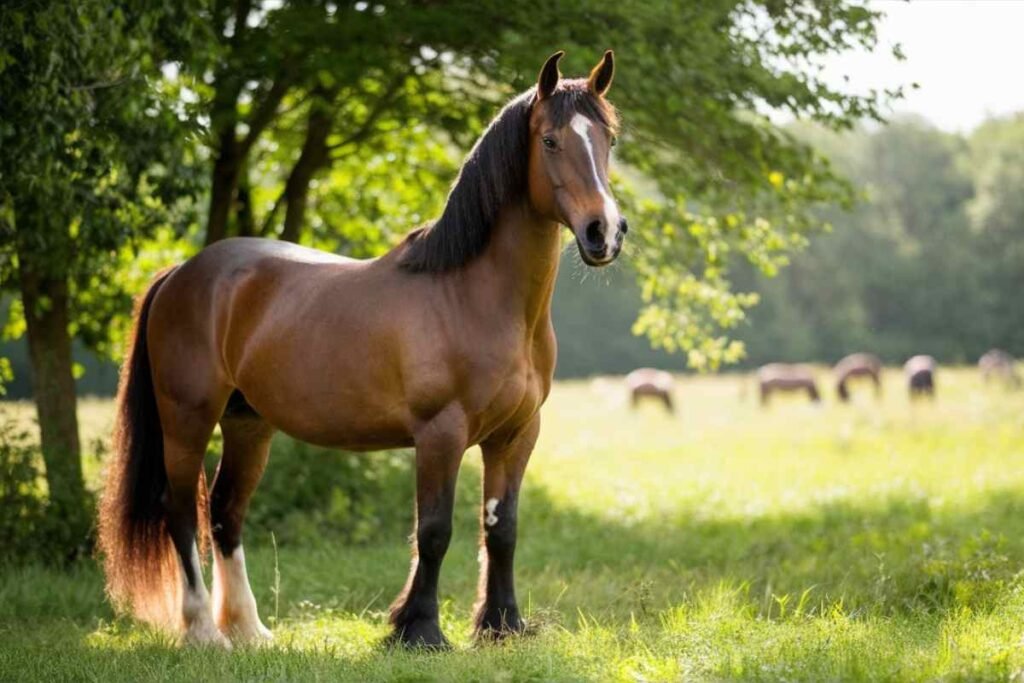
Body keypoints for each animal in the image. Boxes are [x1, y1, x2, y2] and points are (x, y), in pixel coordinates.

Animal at [97, 50, 622, 651]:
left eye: (608, 138)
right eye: (551, 140)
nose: (604, 231)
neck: (476, 297)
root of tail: (181, 272)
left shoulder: (516, 434)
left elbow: (501, 529)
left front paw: (501, 626)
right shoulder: (440, 434)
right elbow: (434, 531)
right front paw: (419, 630)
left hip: (248, 423)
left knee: (227, 513)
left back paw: (251, 631)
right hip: (188, 418)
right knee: (182, 511)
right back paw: (205, 632)